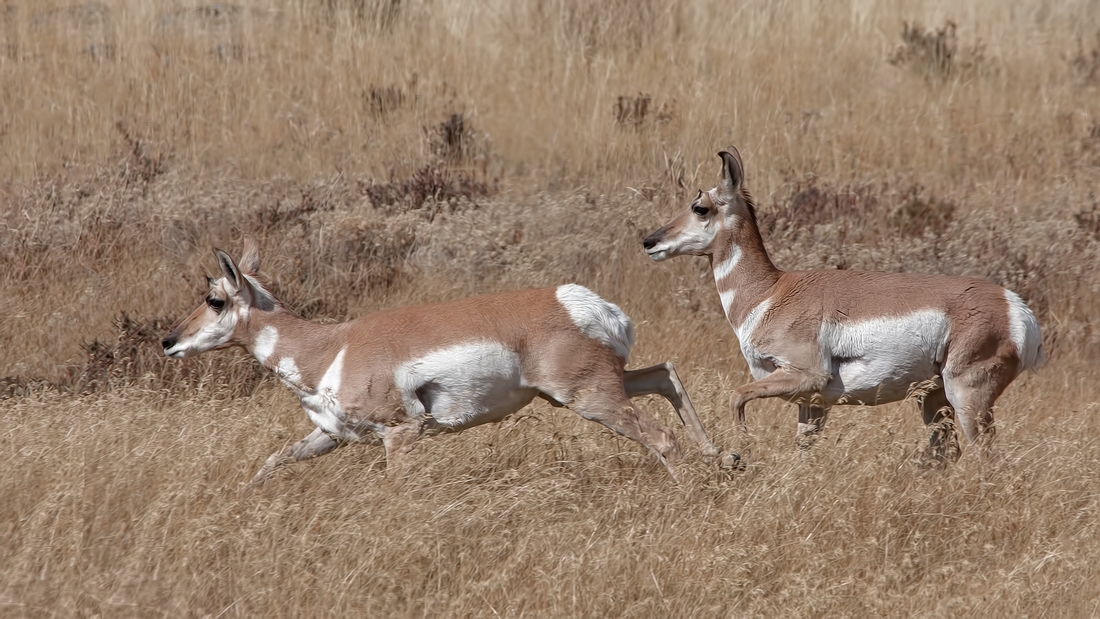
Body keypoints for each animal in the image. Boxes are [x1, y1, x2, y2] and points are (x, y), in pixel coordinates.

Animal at [162, 237, 726, 483]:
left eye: (214, 298)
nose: (168, 340)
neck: (328, 346)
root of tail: (589, 303)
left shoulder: (401, 433)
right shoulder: (330, 435)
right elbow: (273, 461)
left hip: (590, 397)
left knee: (661, 436)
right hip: (598, 387)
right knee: (665, 374)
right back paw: (724, 457)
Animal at [642, 145, 1047, 455]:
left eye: (700, 207)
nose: (649, 241)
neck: (771, 293)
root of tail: (1015, 308)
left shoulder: (804, 376)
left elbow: (736, 396)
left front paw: (740, 451)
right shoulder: (812, 404)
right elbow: (803, 452)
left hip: (967, 396)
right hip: (933, 399)